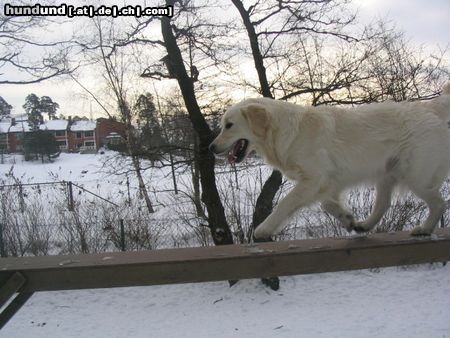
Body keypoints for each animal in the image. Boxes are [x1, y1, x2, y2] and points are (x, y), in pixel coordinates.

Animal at [210, 84, 450, 238]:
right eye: (222, 125)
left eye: (229, 125)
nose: (211, 148)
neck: (285, 131)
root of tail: (429, 107)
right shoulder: (329, 180)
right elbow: (326, 203)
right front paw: (346, 217)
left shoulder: (314, 178)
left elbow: (285, 202)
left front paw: (264, 229)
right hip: (387, 173)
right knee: (383, 204)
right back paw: (364, 225)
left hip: (416, 175)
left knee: (439, 203)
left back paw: (425, 229)